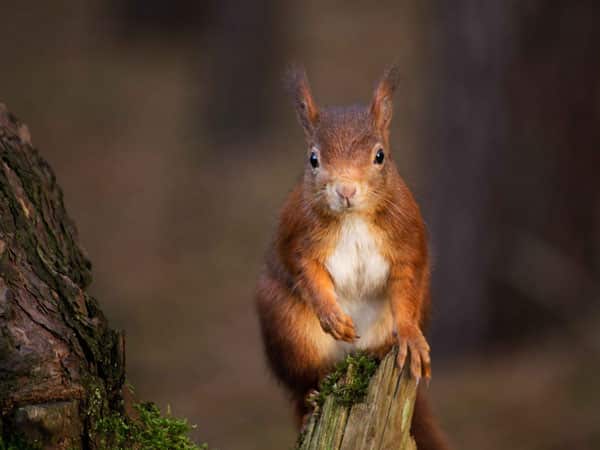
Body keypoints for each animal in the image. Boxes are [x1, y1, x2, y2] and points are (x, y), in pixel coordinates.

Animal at [255, 64, 448, 450]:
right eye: (313, 159)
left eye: (380, 156)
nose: (345, 189)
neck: (353, 219)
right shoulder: (299, 239)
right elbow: (307, 273)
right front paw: (332, 315)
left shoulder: (407, 243)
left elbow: (405, 290)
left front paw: (410, 337)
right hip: (287, 326)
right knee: (303, 385)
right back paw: (310, 402)